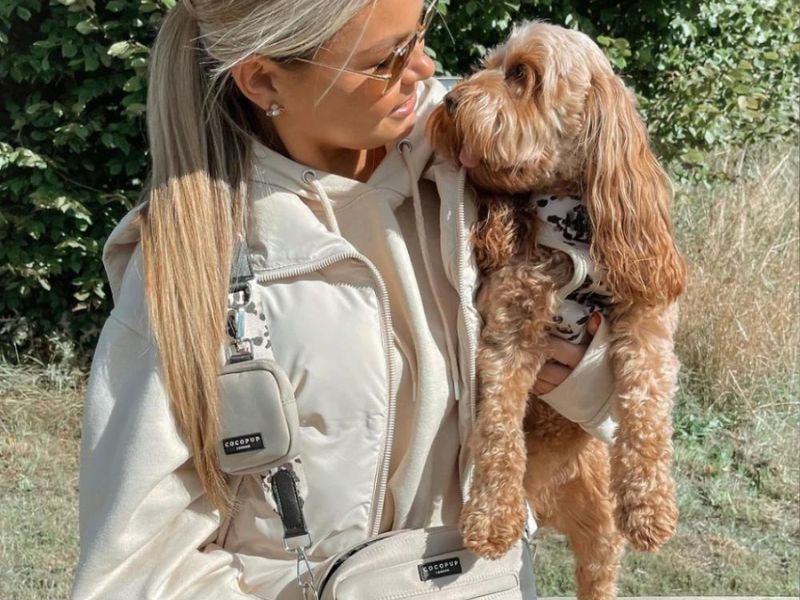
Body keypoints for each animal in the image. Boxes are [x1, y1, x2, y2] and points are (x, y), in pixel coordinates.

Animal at [428, 21, 684, 596]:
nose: (450, 101)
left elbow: (646, 407)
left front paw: (650, 504)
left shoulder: (649, 321)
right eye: (489, 65)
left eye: (522, 74)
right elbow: (499, 430)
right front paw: (491, 518)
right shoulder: (508, 333)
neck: (571, 229)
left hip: (599, 535)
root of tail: (546, 508)